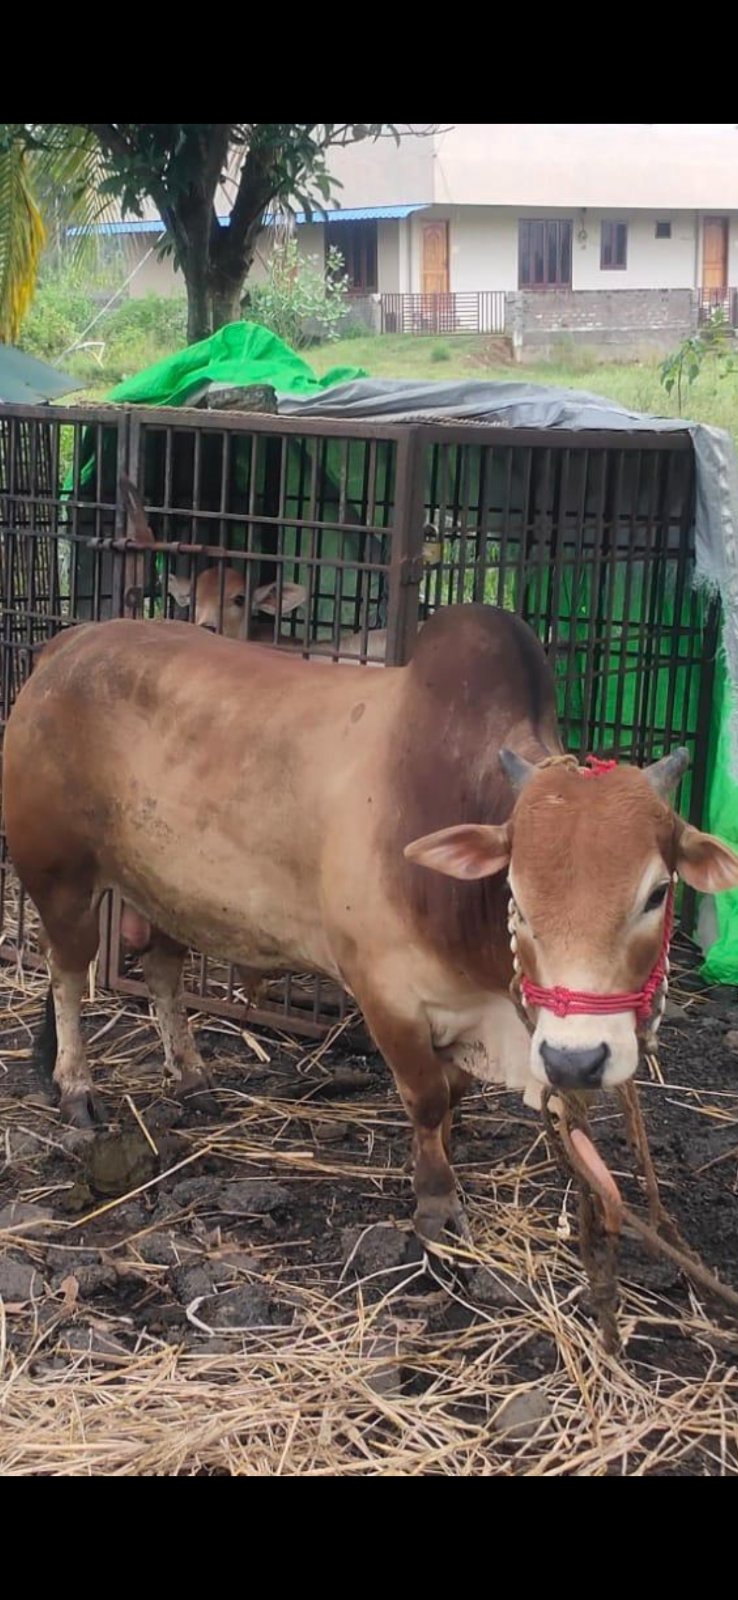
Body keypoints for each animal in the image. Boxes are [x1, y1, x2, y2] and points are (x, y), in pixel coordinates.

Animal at [6, 603, 736, 1242]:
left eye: (657, 892)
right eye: (516, 893)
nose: (575, 1058)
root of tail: (65, 644)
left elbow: (455, 1092)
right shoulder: (385, 992)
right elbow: (428, 1096)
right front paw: (436, 1204)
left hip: (166, 885)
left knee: (161, 968)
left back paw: (190, 1074)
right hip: (60, 877)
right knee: (67, 974)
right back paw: (76, 1089)